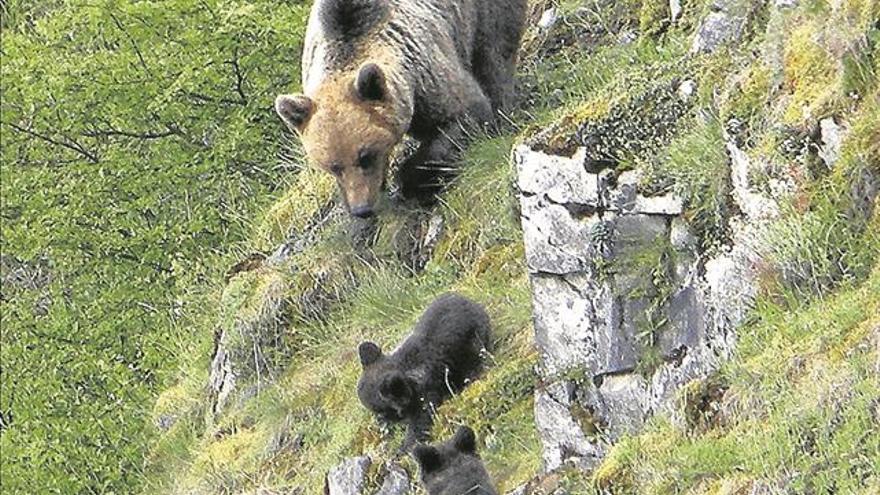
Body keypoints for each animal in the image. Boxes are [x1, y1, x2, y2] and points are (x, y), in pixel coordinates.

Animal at [274, 0, 524, 217]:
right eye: (333, 166)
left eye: (365, 156)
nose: (361, 209)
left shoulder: (425, 75)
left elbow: (466, 113)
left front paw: (410, 179)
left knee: (495, 52)